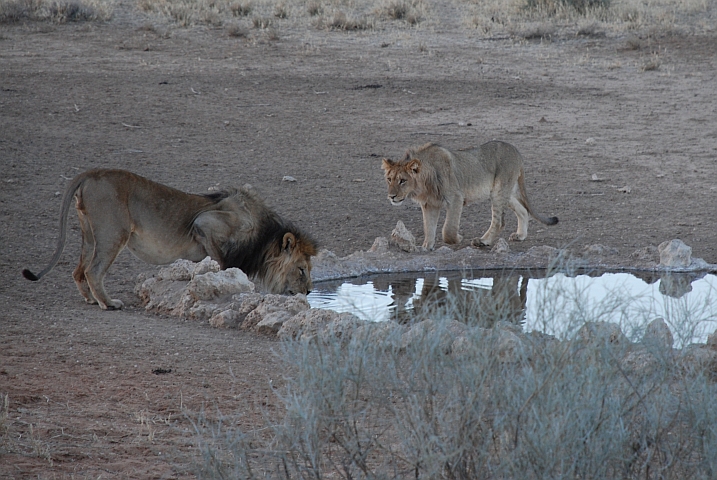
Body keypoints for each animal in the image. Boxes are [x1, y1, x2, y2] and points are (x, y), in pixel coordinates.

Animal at [22, 171, 316, 310]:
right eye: (301, 269)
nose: (310, 292)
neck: (262, 239)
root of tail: (90, 174)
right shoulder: (205, 223)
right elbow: (222, 264)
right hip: (112, 232)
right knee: (93, 270)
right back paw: (109, 303)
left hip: (90, 233)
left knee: (78, 270)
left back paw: (91, 300)